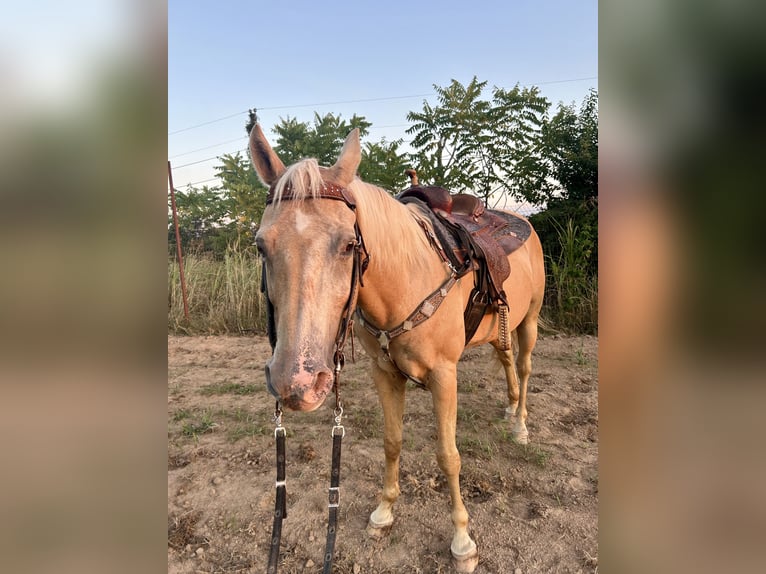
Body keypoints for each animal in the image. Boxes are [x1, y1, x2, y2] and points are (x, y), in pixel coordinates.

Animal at [250, 124, 545, 572]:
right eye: (261, 245)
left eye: (349, 245)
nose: (297, 383)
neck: (408, 275)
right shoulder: (384, 373)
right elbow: (392, 441)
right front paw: (383, 512)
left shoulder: (444, 375)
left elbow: (448, 456)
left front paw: (462, 541)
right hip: (502, 325)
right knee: (507, 359)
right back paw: (510, 408)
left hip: (528, 320)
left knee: (525, 368)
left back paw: (521, 425)